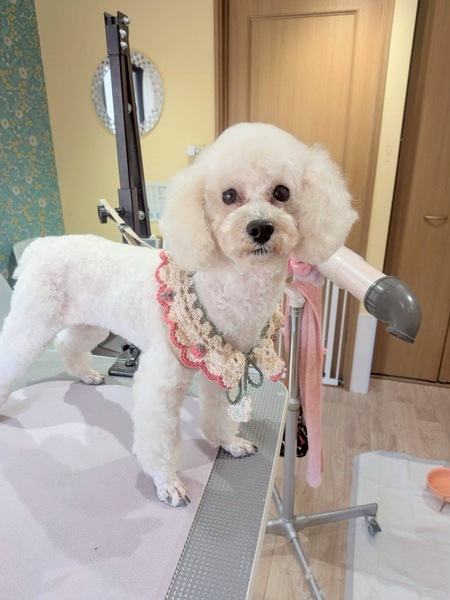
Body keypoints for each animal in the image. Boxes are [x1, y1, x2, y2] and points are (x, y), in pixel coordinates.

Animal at [0, 122, 357, 507]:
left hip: (89, 322)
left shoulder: (225, 364)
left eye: (281, 191)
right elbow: (158, 439)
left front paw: (229, 442)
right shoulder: (161, 381)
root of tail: (40, 245)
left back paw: (85, 375)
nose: (260, 227)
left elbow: (219, 414)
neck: (227, 287)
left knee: (69, 343)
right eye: (229, 195)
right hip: (33, 321)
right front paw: (167, 482)